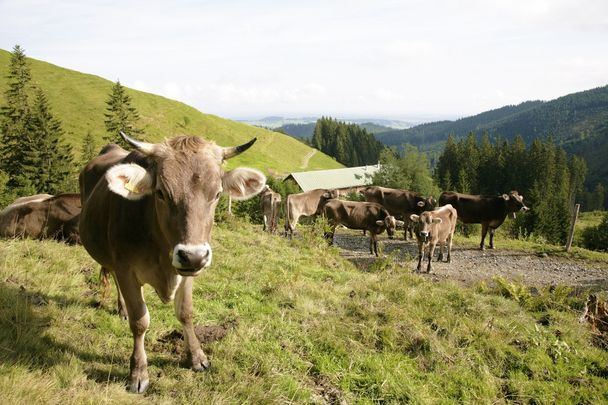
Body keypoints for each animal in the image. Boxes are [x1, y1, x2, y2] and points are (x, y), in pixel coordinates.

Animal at [79, 133, 266, 392]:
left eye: (217, 194)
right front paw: (138, 372)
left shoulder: (186, 270)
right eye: (160, 193)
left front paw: (196, 356)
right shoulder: (126, 269)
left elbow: (186, 312)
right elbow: (140, 321)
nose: (194, 255)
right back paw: (123, 308)